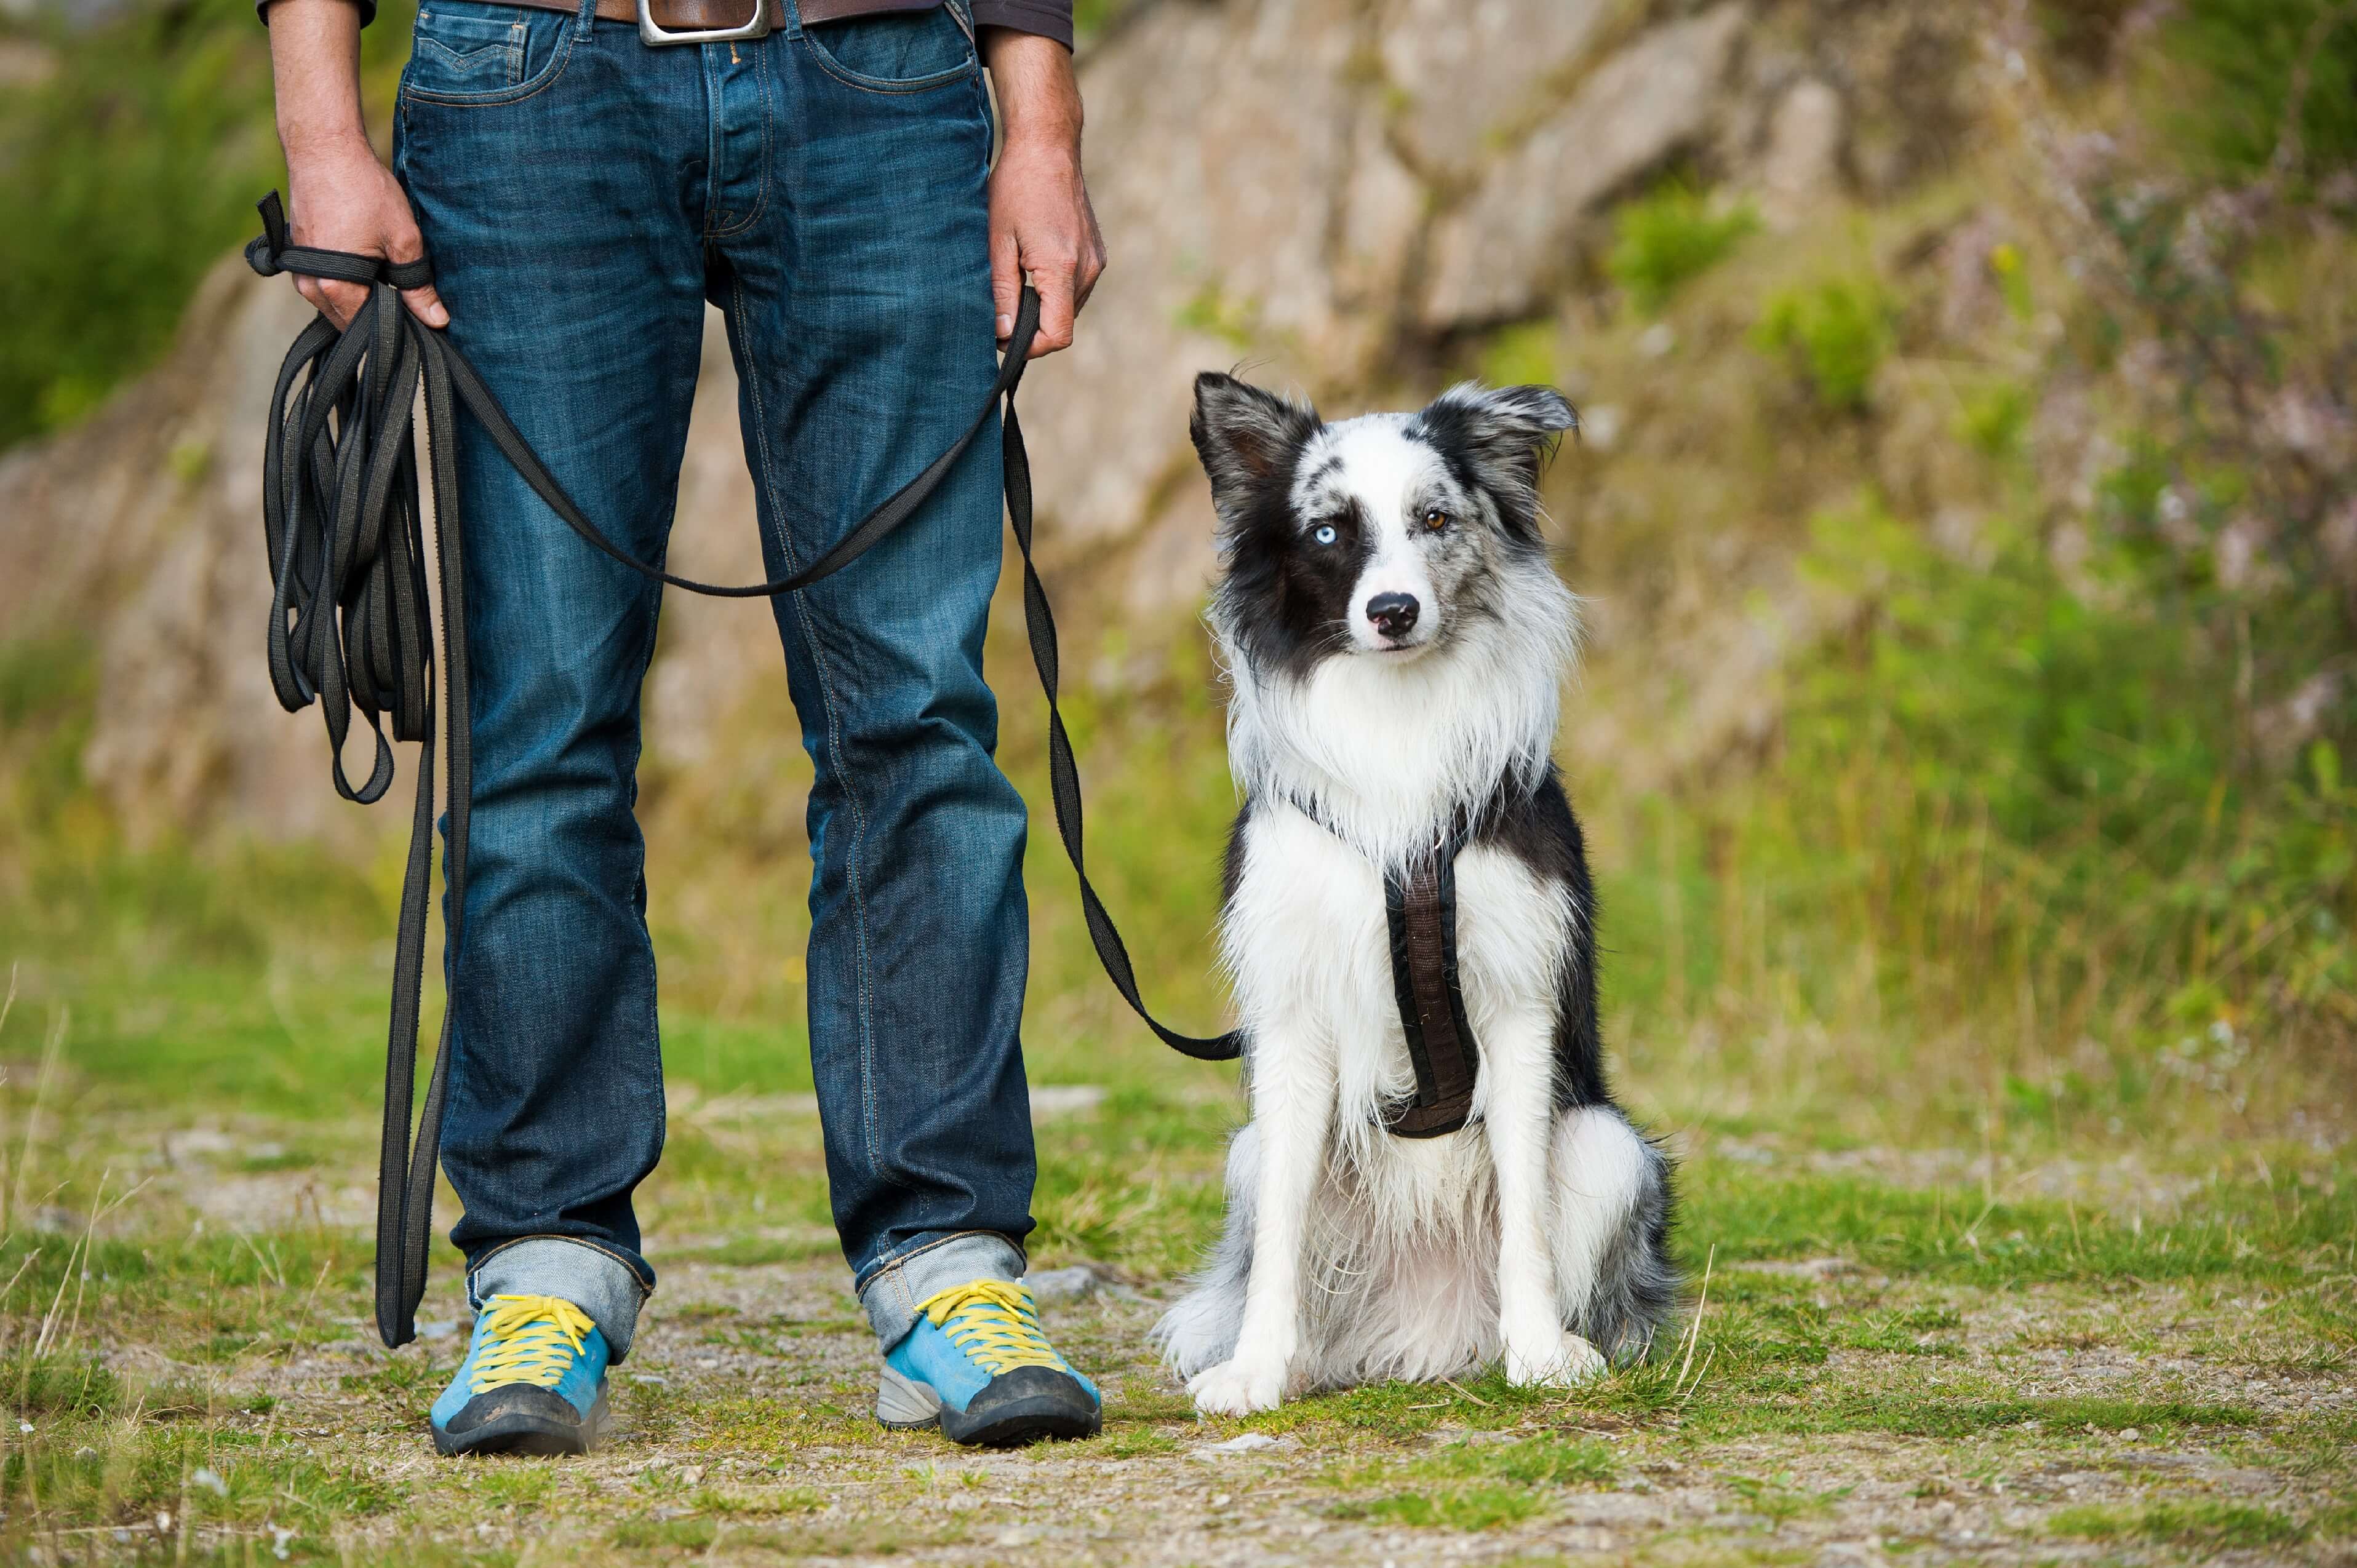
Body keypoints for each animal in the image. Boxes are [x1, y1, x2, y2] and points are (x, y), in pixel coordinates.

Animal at [1155, 372, 1678, 1414]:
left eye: (1433, 518)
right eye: (1327, 531)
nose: (1391, 610)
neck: (1394, 724)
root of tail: (1424, 1330)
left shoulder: (1516, 1005)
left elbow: (1524, 1211)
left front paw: (1539, 1353)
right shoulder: (1292, 1015)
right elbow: (1278, 1243)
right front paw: (1255, 1369)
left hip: (1609, 1148)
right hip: (1248, 1152)